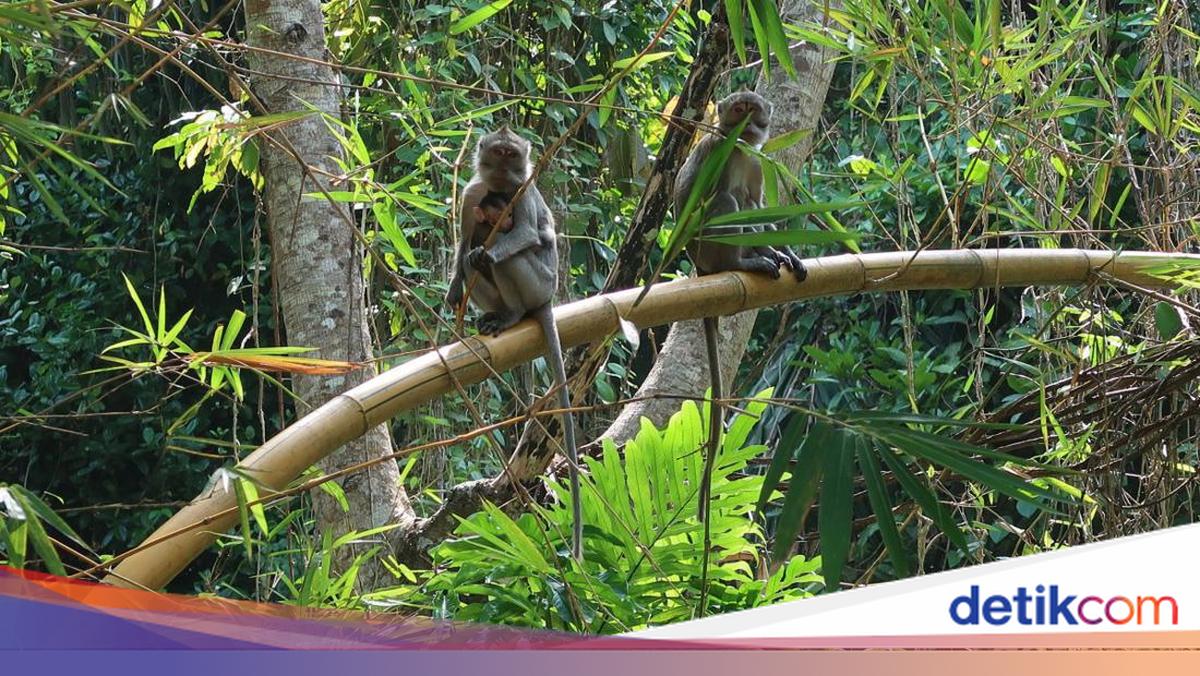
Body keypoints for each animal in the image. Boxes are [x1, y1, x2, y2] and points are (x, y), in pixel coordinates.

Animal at [445, 127, 584, 561]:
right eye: (499, 152)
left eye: (512, 155)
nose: (507, 166)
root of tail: (547, 299)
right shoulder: (472, 194)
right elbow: (463, 241)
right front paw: (453, 289)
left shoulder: (523, 190)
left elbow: (525, 234)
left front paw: (493, 250)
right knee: (471, 255)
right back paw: (496, 313)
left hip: (539, 282)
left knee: (505, 258)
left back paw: (512, 310)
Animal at [672, 91, 806, 528]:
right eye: (737, 110)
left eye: (753, 110)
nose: (746, 121)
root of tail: (701, 269)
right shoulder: (718, 149)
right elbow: (705, 201)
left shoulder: (757, 160)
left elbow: (758, 205)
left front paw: (787, 252)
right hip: (708, 252)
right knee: (724, 203)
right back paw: (743, 264)